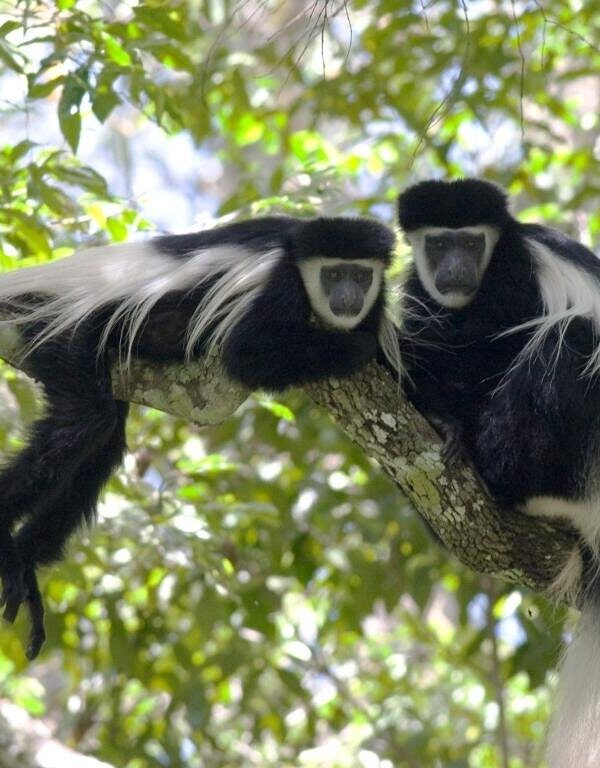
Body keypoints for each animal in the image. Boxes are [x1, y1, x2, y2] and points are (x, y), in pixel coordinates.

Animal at [0, 214, 399, 660]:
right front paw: (354, 347)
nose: (347, 297)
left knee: (103, 441)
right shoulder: (278, 288)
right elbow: (247, 354)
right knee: (84, 421)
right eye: (333, 275)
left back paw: (25, 565)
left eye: (360, 275)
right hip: (59, 329)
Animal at [396, 177, 600, 768]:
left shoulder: (518, 275)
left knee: (569, 339)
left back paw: (498, 471)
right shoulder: (420, 293)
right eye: (439, 243)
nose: (455, 269)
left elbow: (504, 342)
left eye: (471, 242)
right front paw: (443, 418)